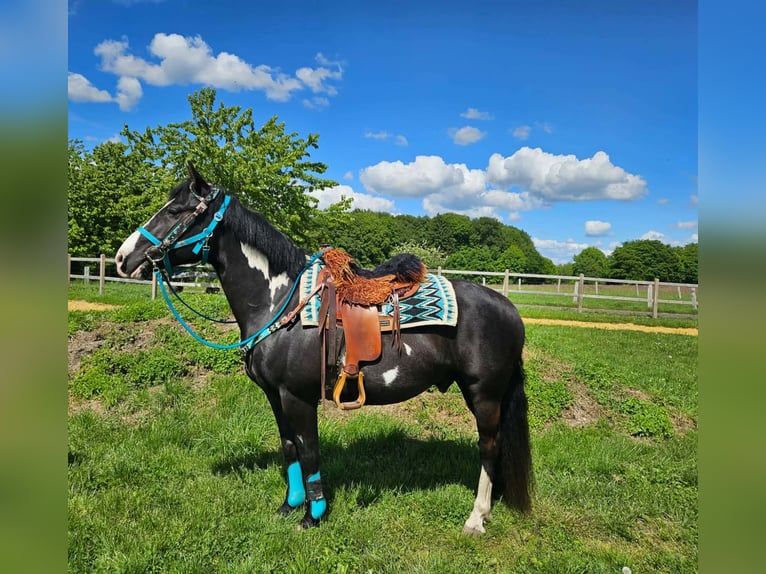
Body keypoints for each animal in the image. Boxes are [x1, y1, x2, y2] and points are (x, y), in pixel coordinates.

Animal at [115, 162, 532, 534]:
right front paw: (289, 506)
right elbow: (289, 448)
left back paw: (476, 519)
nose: (122, 258)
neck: (281, 302)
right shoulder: (275, 396)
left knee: (489, 446)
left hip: (484, 394)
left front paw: (312, 516)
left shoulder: (298, 397)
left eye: (175, 211)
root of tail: (509, 307)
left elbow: (309, 450)